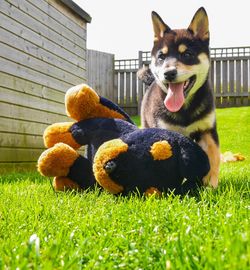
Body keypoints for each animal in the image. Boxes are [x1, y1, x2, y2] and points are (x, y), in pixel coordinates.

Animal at [140, 6, 220, 188]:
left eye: (187, 54)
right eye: (161, 57)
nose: (168, 73)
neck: (184, 110)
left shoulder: (207, 129)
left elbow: (214, 156)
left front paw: (211, 184)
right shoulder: (164, 133)